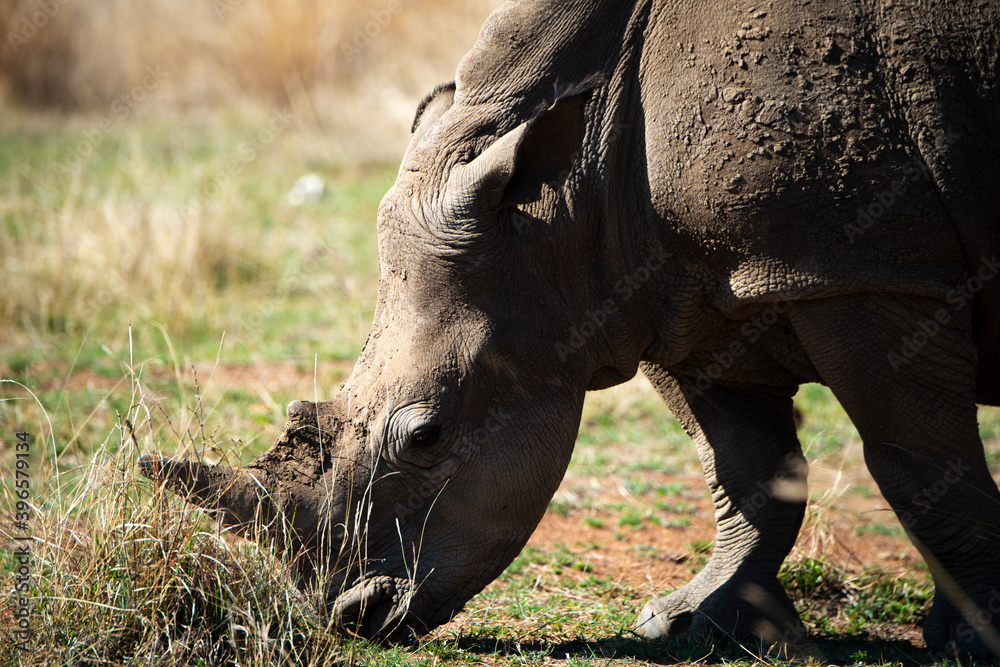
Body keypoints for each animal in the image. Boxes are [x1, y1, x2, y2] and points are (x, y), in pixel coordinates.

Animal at [140, 0, 1000, 657]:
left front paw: (975, 639)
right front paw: (686, 625)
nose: (357, 616)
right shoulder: (670, 293)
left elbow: (919, 466)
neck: (566, 201)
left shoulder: (861, 267)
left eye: (426, 436)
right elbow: (746, 467)